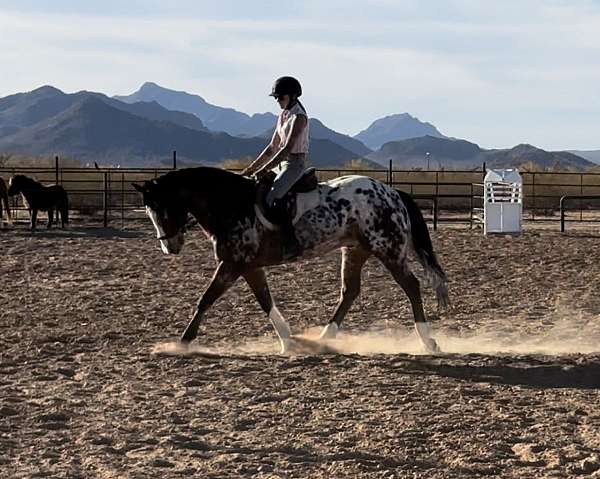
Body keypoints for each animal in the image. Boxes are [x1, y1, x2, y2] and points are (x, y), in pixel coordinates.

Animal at [134, 167, 448, 354]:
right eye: (149, 211)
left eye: (162, 209)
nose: (170, 247)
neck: (230, 204)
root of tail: (392, 192)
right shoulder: (249, 267)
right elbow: (264, 300)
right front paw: (288, 341)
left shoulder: (233, 264)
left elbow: (206, 299)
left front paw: (182, 342)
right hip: (356, 250)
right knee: (350, 291)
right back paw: (324, 337)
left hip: (388, 249)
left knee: (411, 286)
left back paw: (428, 340)